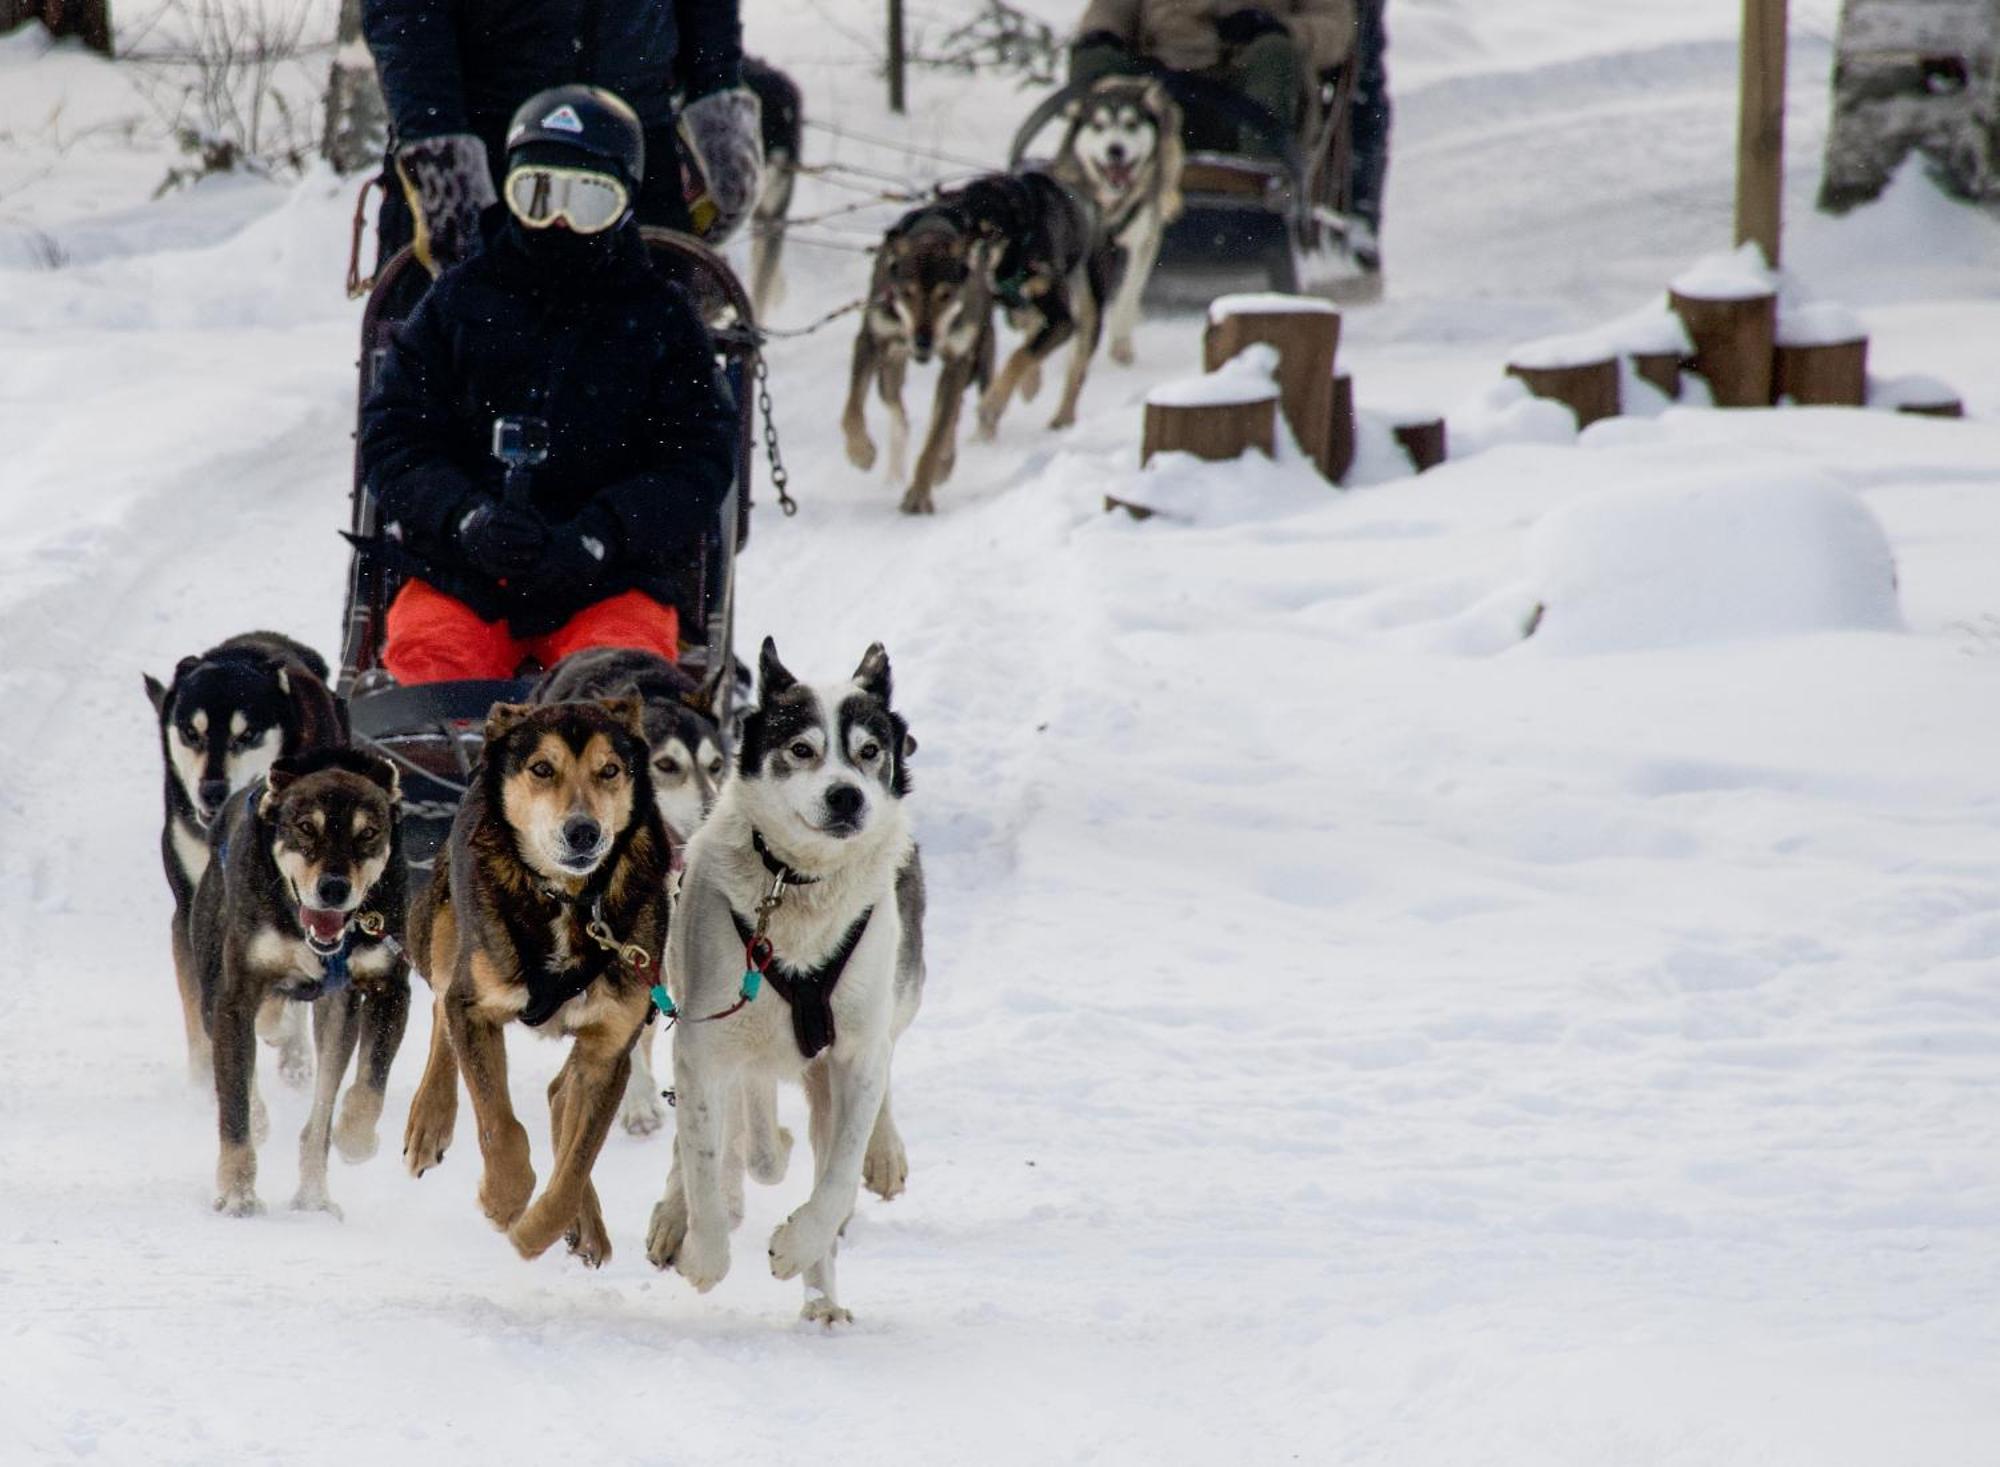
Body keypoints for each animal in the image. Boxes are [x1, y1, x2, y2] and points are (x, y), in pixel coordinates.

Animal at [644, 639, 924, 1327]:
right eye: (801, 748)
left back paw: (824, 1290)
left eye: (869, 751)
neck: (798, 887)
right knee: (720, 1144)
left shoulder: (854, 1055)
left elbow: (837, 1179)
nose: (847, 796)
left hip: (885, 1009)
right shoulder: (703, 1047)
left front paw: (800, 1247)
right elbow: (703, 1160)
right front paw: (703, 1253)